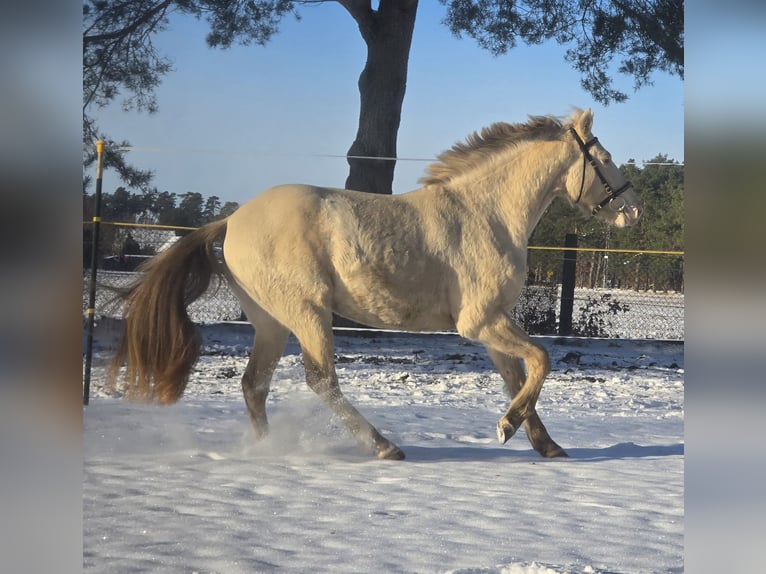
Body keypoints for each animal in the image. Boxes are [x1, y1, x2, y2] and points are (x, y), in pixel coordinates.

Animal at [110, 108, 642, 460]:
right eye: (605, 158)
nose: (634, 211)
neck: (485, 214)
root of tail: (232, 221)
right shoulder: (478, 322)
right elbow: (543, 359)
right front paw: (507, 427)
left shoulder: (493, 325)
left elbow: (520, 376)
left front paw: (544, 444)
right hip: (308, 313)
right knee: (320, 379)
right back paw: (384, 447)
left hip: (272, 323)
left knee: (254, 384)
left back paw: (265, 448)